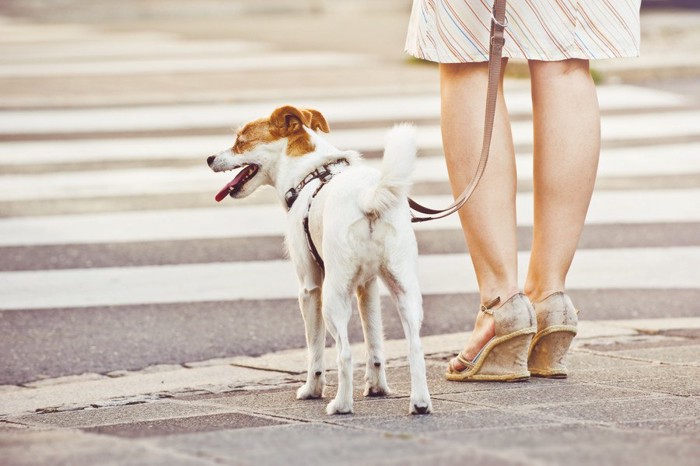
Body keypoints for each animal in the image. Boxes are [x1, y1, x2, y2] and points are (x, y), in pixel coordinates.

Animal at [205, 105, 430, 416]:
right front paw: (376, 387)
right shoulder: (368, 287)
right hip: (404, 288)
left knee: (344, 354)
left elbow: (315, 349)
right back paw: (420, 403)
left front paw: (312, 389)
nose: (209, 158)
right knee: (415, 348)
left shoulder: (310, 288)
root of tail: (367, 198)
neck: (309, 174)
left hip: (334, 297)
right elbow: (374, 341)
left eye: (241, 141)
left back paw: (341, 405)